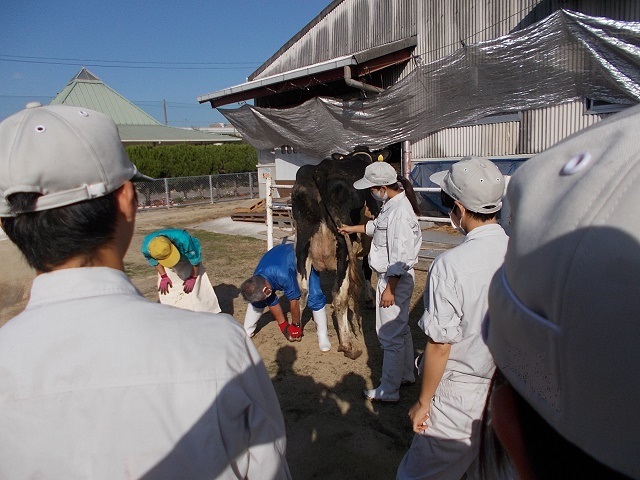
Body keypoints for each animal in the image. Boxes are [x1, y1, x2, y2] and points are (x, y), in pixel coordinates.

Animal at [290, 146, 390, 360]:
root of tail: (319, 170)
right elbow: (367, 269)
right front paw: (370, 299)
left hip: (302, 242)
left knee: (302, 290)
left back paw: (296, 332)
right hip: (343, 246)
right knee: (339, 295)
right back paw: (347, 345)